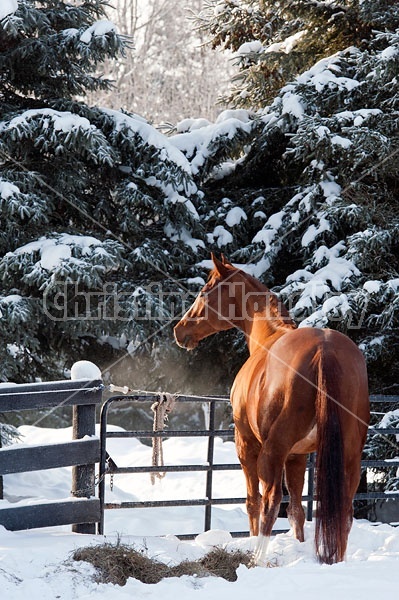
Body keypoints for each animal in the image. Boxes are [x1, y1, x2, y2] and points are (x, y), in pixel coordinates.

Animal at [175, 255, 372, 564]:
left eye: (204, 292)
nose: (180, 330)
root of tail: (324, 349)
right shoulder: (297, 456)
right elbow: (297, 510)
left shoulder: (247, 446)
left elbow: (254, 502)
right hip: (349, 455)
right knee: (344, 510)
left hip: (271, 452)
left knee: (269, 502)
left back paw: (257, 559)